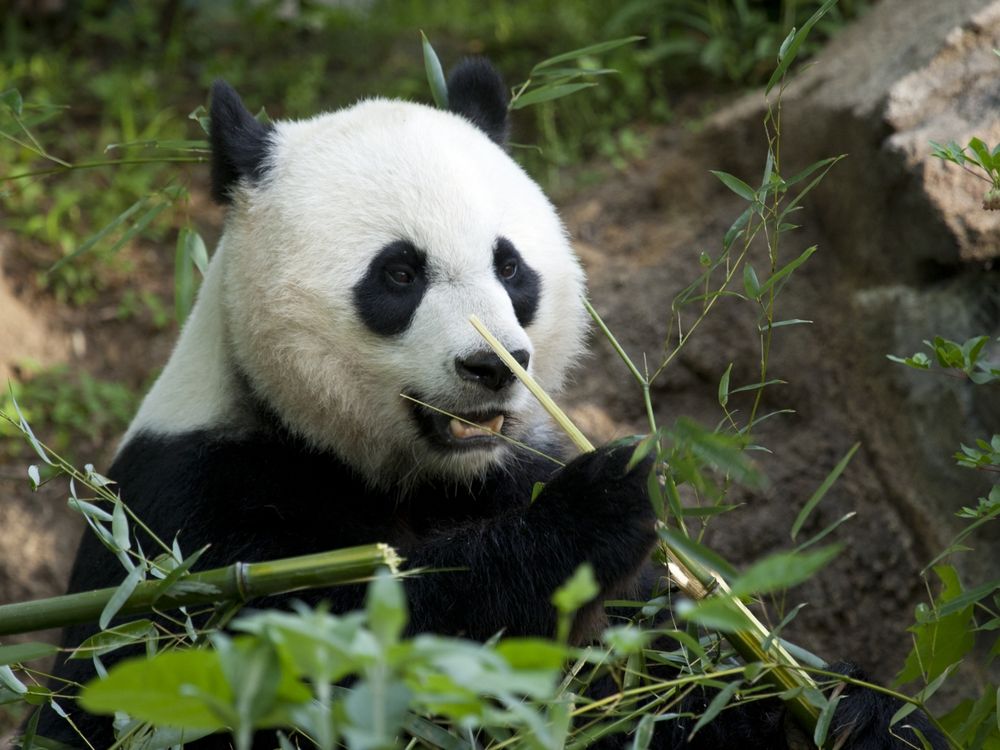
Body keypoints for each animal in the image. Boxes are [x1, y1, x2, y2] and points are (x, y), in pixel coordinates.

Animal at [39, 58, 944, 750]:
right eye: (399, 273)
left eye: (510, 266)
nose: (493, 365)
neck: (405, 473)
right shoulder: (185, 525)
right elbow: (313, 656)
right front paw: (595, 508)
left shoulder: (514, 466)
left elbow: (675, 663)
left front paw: (850, 708)